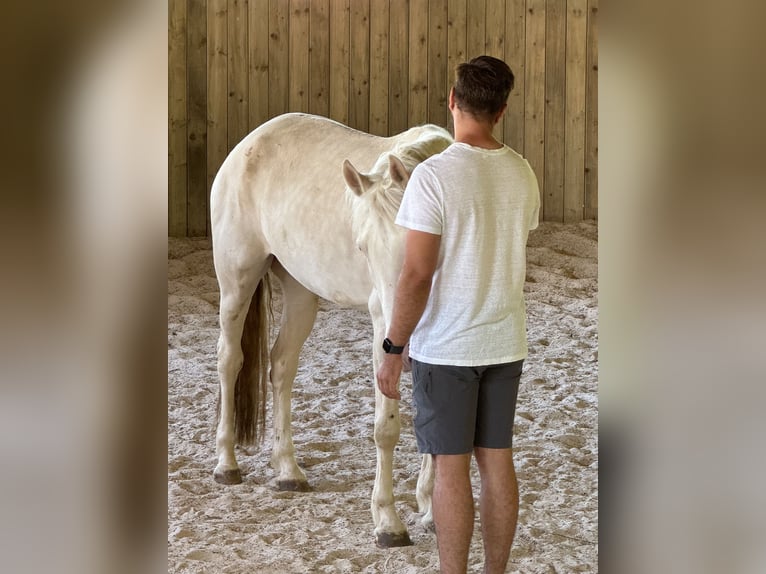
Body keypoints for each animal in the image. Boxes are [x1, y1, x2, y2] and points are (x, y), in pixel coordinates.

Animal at [210, 112, 452, 548]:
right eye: (362, 248)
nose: (401, 341)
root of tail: (248, 145)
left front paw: (429, 508)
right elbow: (386, 428)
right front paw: (388, 521)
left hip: (300, 294)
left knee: (281, 366)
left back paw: (288, 470)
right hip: (237, 282)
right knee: (230, 361)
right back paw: (227, 464)